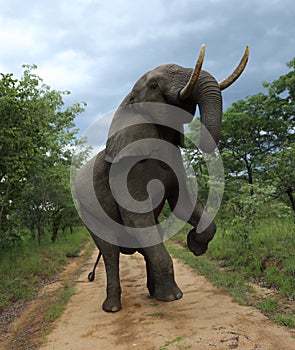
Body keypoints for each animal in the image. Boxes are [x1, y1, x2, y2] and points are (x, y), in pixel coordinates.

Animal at [74, 45, 250, 314]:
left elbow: (183, 205)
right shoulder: (124, 171)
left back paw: (154, 294)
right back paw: (113, 308)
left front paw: (195, 247)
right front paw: (174, 297)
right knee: (110, 252)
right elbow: (136, 217)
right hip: (89, 214)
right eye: (154, 85)